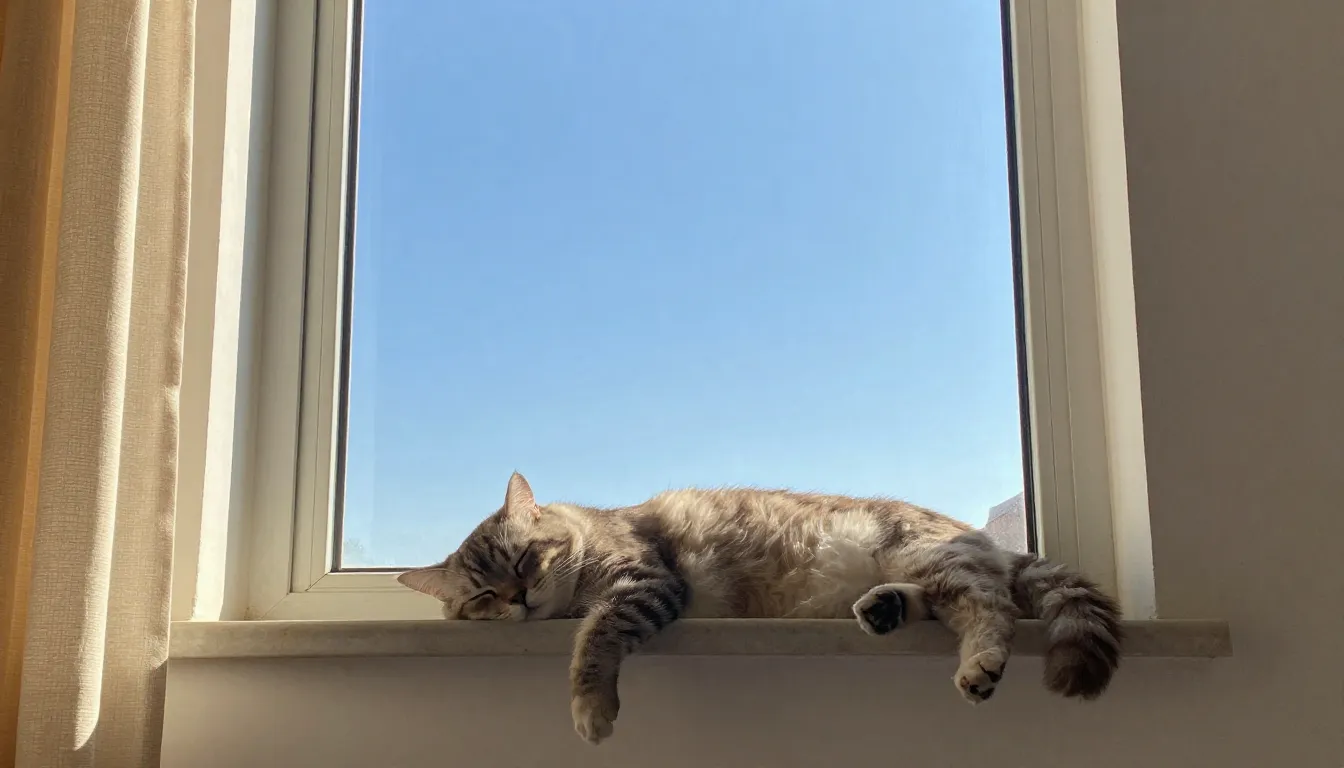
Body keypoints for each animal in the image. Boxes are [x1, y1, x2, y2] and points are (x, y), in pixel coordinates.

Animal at [398, 472, 1122, 745]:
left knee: (990, 608)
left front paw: (592, 708)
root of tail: (978, 534)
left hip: (927, 558)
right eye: (484, 595)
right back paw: (884, 609)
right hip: (921, 569)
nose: (518, 600)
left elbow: (596, 640)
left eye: (523, 561)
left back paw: (979, 665)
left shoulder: (642, 583)